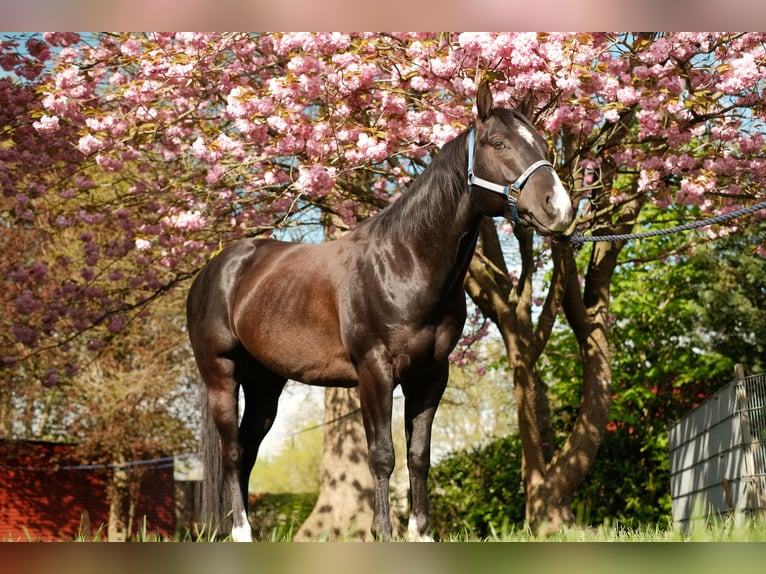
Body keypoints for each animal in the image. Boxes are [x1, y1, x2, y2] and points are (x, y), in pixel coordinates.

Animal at [186, 81, 574, 542]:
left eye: (545, 145)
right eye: (498, 143)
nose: (559, 207)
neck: (404, 261)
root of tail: (215, 268)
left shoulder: (431, 375)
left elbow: (419, 455)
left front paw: (421, 533)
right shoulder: (374, 371)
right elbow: (383, 455)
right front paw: (383, 533)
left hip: (265, 383)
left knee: (247, 450)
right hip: (222, 374)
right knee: (232, 451)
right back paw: (241, 531)